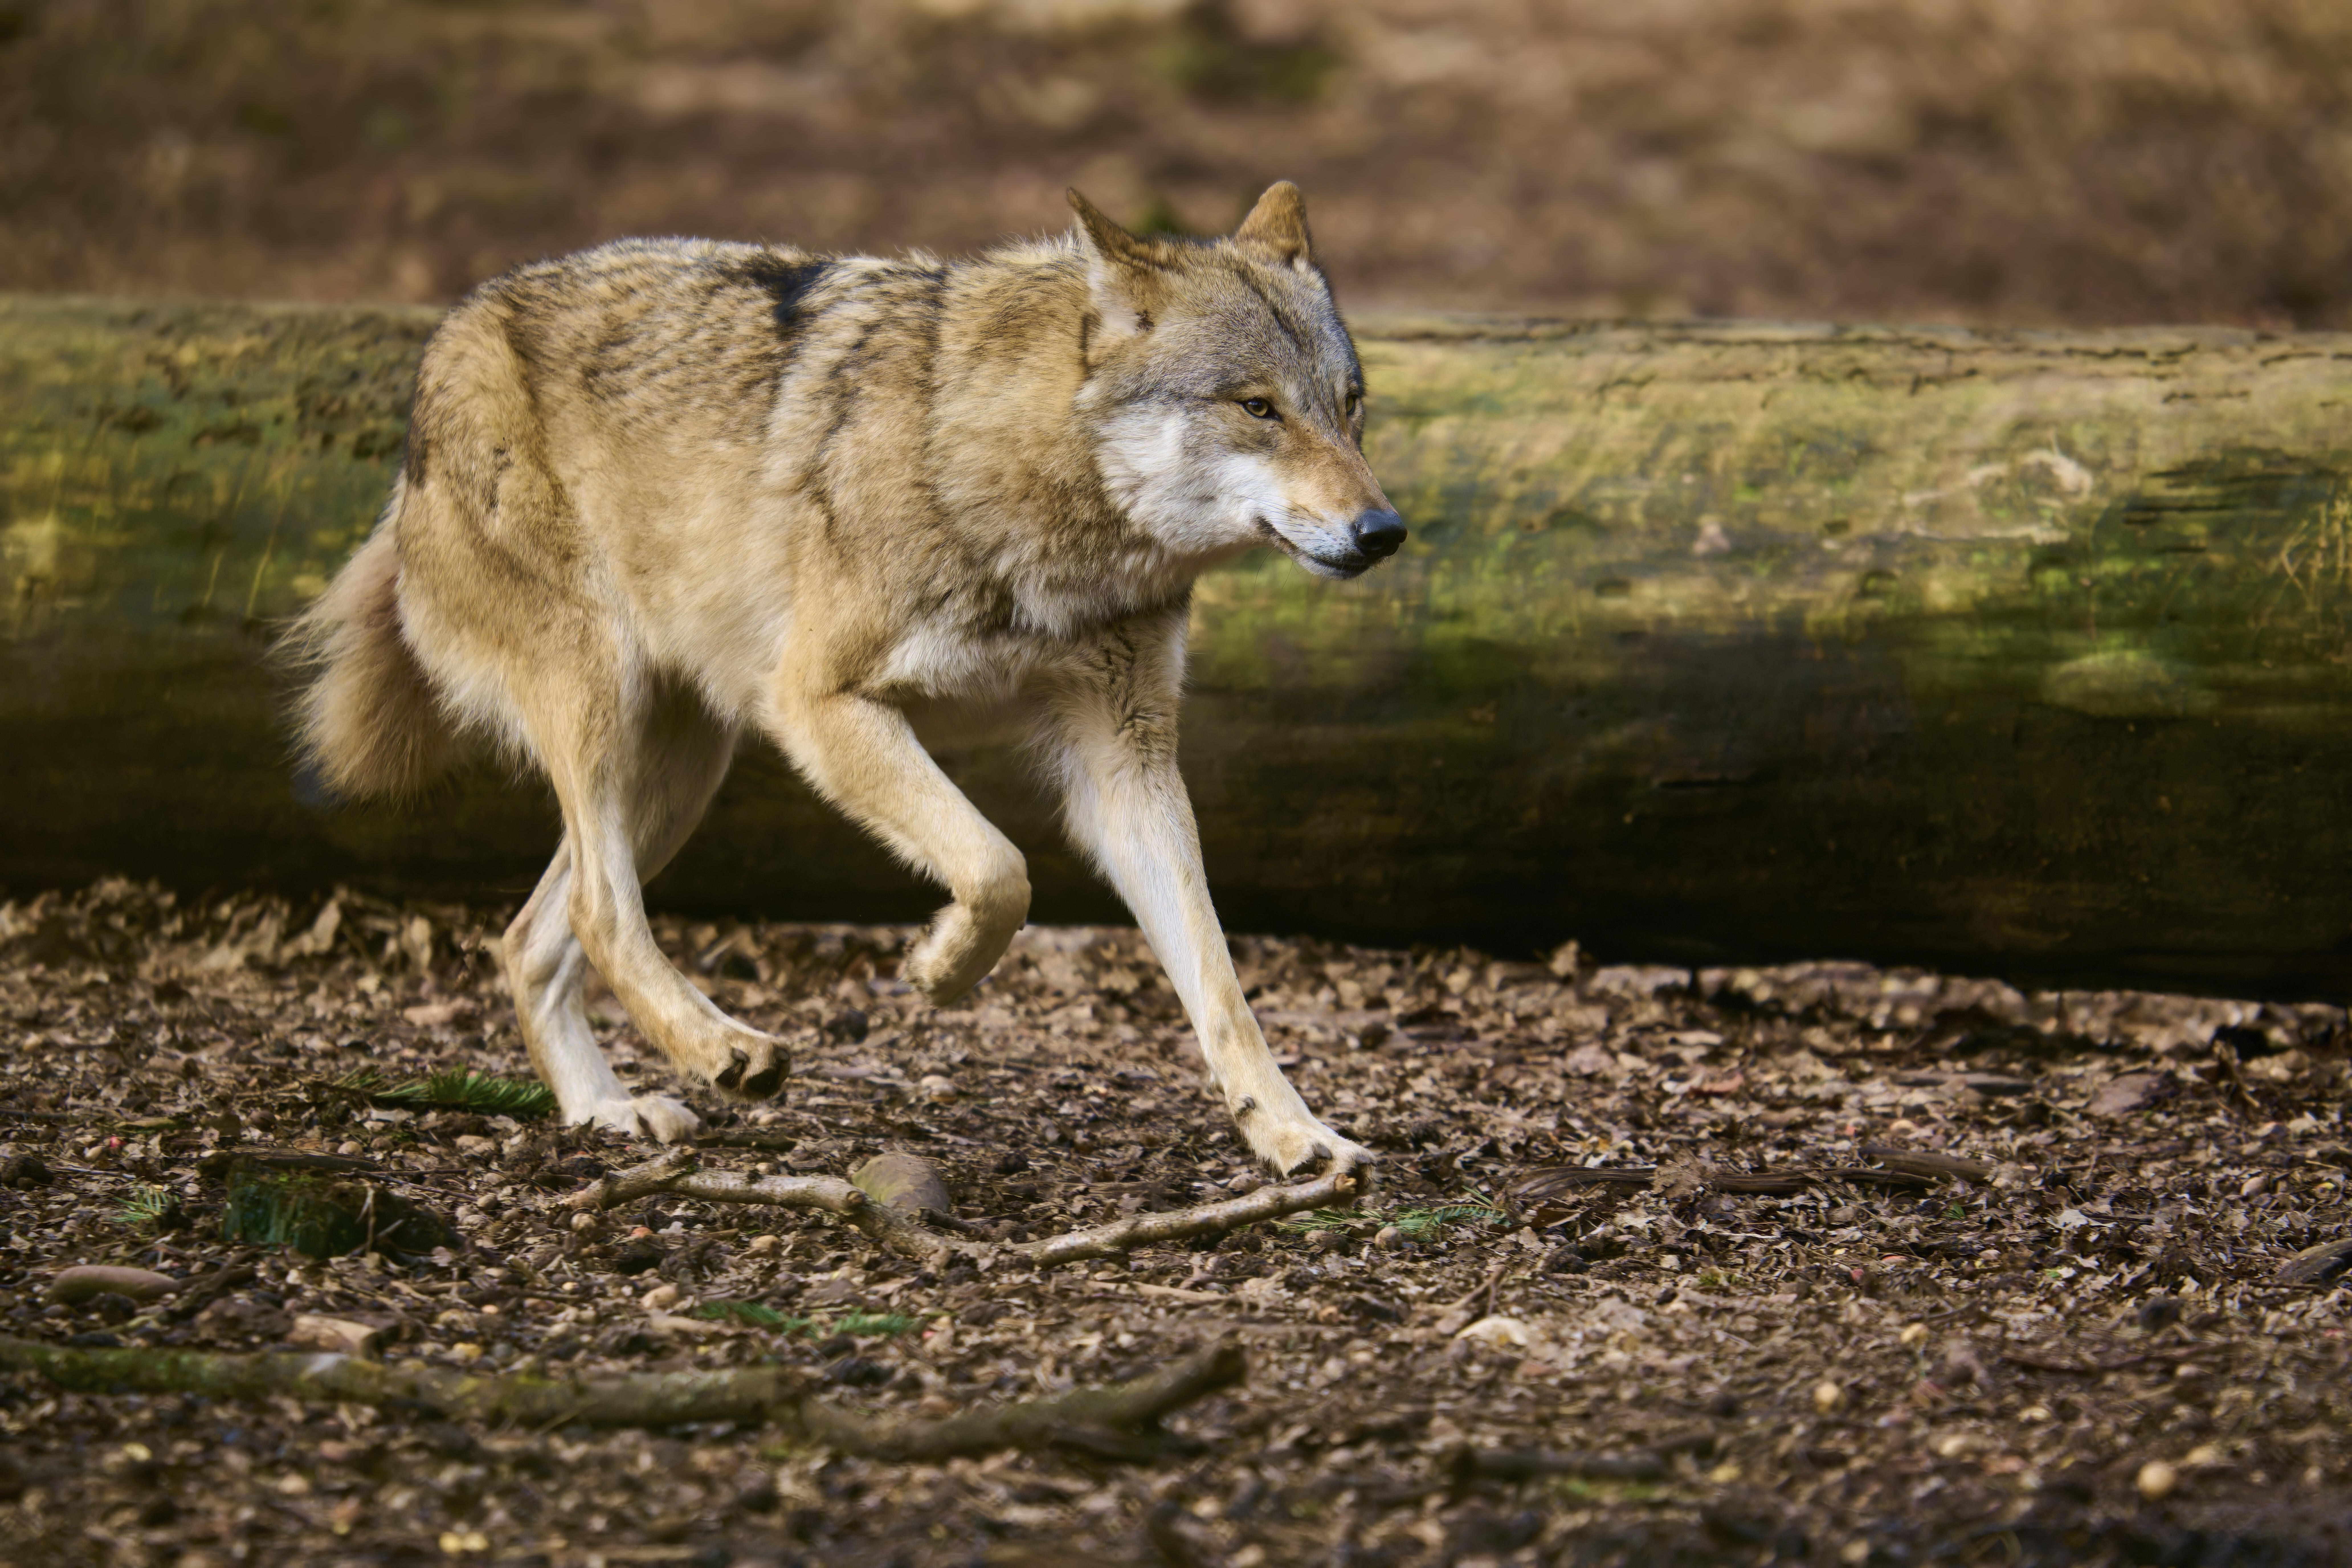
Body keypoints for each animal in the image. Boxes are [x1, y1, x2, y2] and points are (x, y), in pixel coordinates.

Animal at [290, 182, 1403, 1177]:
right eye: (1257, 408)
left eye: (1349, 410)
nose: (1384, 531)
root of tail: (454, 329)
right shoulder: (819, 706)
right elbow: (999, 868)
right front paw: (940, 968)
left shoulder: (1127, 765)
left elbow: (1219, 985)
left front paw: (1294, 1134)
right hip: (608, 709)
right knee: (603, 914)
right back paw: (721, 1050)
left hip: (681, 771)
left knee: (532, 938)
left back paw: (608, 1109)